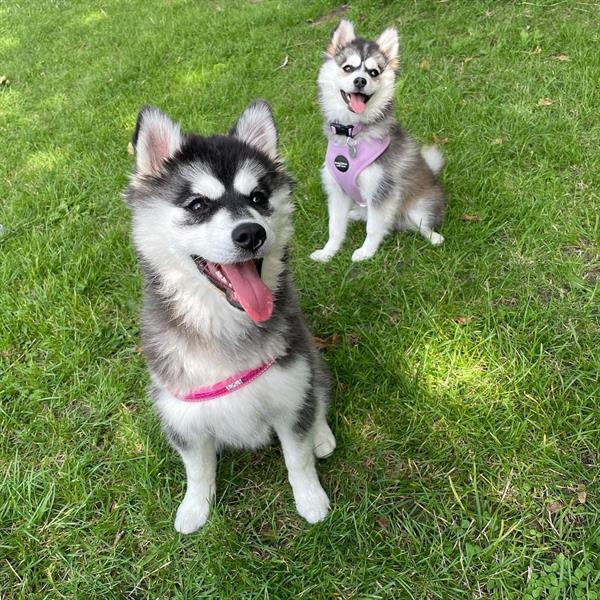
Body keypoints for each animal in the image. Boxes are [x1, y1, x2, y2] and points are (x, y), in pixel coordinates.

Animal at [123, 99, 336, 536]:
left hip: (308, 354)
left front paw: (310, 500)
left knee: (320, 394)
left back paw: (323, 437)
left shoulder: (290, 392)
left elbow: (299, 458)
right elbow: (198, 469)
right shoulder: (182, 413)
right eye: (197, 205)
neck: (222, 324)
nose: (251, 233)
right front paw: (195, 509)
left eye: (258, 196)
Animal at [312, 20, 448, 262]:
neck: (353, 134)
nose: (360, 80)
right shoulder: (337, 190)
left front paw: (366, 252)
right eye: (348, 68)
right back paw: (355, 214)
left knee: (422, 224)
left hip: (418, 207)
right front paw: (328, 252)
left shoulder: (381, 190)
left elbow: (374, 228)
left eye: (374, 72)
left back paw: (434, 237)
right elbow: (335, 227)